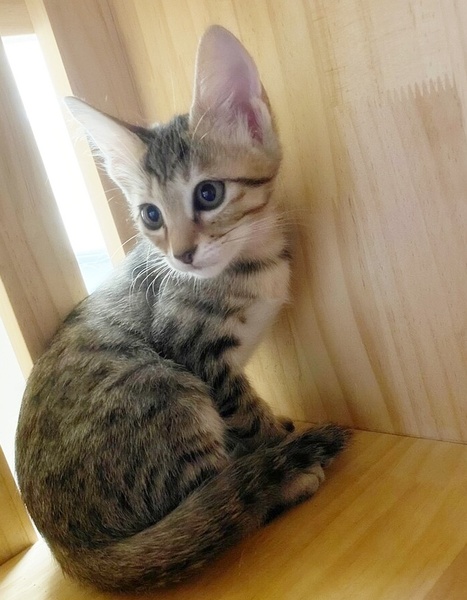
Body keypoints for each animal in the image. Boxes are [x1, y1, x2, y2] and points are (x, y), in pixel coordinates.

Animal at [15, 25, 349, 593]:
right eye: (151, 215)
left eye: (209, 193)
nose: (182, 253)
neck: (248, 265)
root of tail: (69, 549)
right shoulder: (198, 357)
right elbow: (246, 415)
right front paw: (273, 447)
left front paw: (276, 438)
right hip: (164, 387)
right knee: (220, 513)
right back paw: (279, 483)